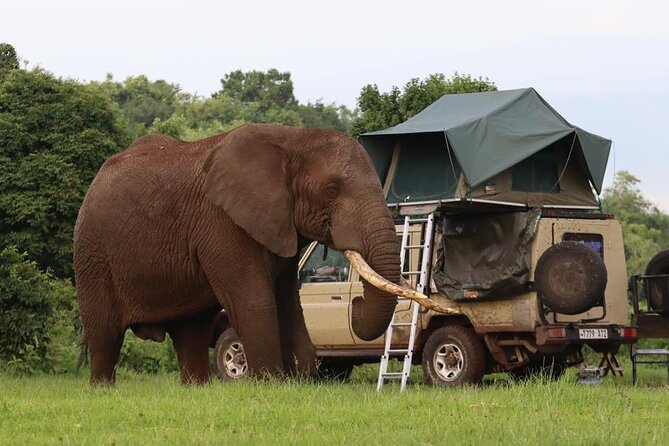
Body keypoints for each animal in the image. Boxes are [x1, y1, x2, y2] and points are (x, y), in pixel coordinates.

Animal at [73, 123, 443, 385]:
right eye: (332, 190)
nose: (355, 303)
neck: (293, 140)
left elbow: (288, 301)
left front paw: (300, 380)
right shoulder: (222, 221)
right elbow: (255, 299)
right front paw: (271, 383)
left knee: (191, 332)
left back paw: (197, 388)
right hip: (93, 253)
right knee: (105, 333)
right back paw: (103, 389)